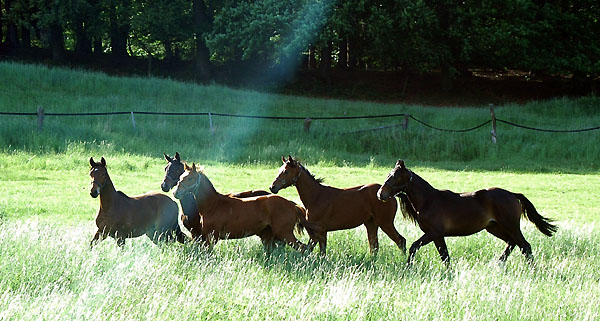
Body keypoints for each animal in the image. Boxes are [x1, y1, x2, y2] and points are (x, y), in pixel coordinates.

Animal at [171, 162, 316, 252]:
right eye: (181, 176)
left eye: (190, 179)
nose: (175, 193)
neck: (213, 205)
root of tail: (292, 205)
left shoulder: (211, 237)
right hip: (269, 236)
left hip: (284, 233)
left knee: (302, 248)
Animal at [268, 155, 406, 255]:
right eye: (279, 170)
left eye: (286, 171)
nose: (272, 187)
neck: (316, 196)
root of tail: (390, 195)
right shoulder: (315, 230)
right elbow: (310, 247)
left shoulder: (321, 230)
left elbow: (321, 251)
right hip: (371, 224)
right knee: (374, 247)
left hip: (385, 223)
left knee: (401, 241)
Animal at [378, 159, 560, 264]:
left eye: (395, 176)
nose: (380, 194)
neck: (428, 201)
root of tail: (512, 195)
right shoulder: (437, 236)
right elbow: (444, 256)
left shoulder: (434, 233)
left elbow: (416, 248)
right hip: (494, 228)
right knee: (512, 243)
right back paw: (498, 264)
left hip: (511, 226)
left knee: (525, 246)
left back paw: (532, 269)